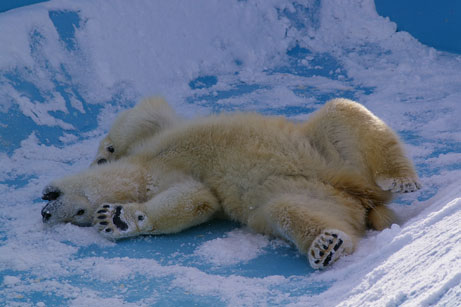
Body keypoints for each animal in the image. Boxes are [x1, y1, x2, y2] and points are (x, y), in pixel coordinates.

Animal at [41, 98, 418, 270]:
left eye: (77, 213)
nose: (45, 213)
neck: (144, 165)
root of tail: (361, 196)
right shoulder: (163, 177)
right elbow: (198, 198)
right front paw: (118, 218)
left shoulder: (155, 144)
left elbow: (145, 114)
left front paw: (104, 158)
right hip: (316, 196)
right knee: (289, 210)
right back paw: (326, 244)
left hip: (326, 152)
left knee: (341, 113)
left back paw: (402, 179)